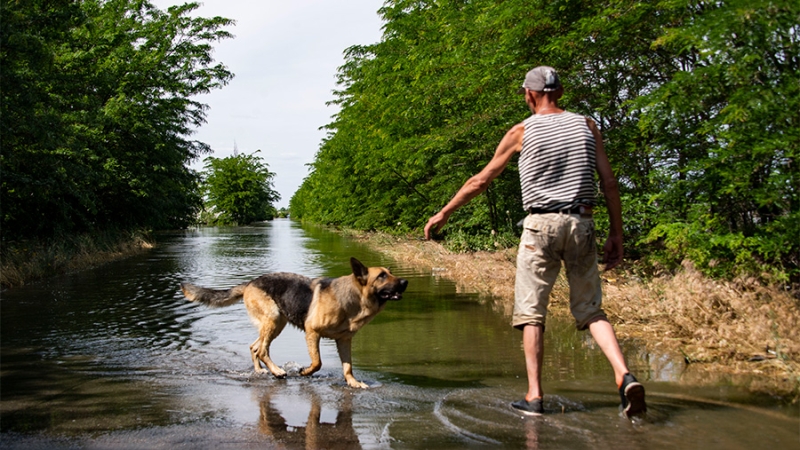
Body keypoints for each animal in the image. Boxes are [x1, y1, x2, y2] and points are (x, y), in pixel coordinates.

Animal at [181, 258, 406, 388]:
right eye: (382, 276)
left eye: (390, 273)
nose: (405, 282)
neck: (353, 298)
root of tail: (251, 282)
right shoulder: (312, 332)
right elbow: (317, 362)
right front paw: (304, 372)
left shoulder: (344, 341)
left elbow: (348, 366)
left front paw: (353, 383)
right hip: (273, 320)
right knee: (262, 350)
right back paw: (277, 371)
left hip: (275, 324)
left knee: (254, 347)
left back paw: (260, 371)